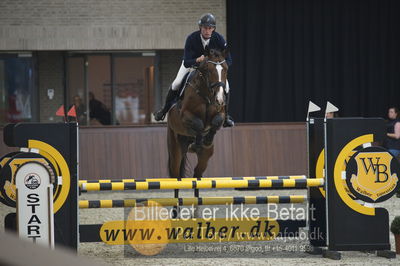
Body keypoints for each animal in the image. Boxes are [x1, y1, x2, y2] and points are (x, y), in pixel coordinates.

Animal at [166, 46, 228, 217]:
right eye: (208, 70)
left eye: (226, 68)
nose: (220, 100)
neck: (206, 93)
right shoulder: (185, 116)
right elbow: (199, 124)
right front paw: (199, 140)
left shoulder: (220, 113)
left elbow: (216, 122)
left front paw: (206, 140)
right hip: (175, 149)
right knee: (176, 177)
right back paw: (175, 211)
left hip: (205, 157)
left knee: (197, 176)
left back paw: (197, 211)